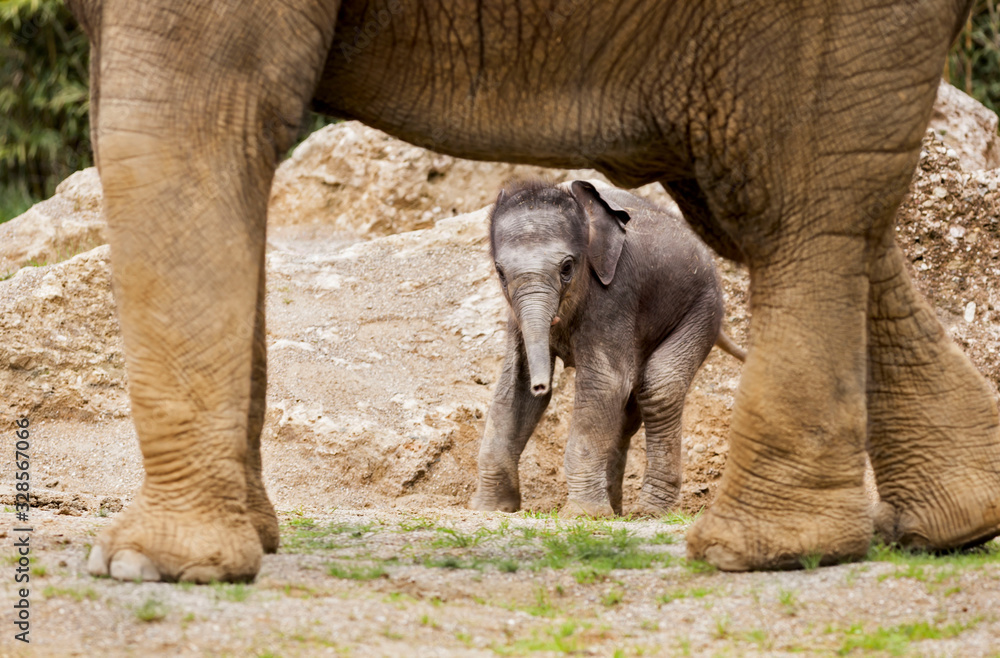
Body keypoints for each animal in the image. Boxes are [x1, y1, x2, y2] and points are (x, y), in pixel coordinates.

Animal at [470, 179, 743, 517]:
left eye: (567, 268)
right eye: (500, 273)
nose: (541, 384)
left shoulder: (615, 293)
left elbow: (605, 383)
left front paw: (582, 514)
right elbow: (514, 389)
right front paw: (490, 509)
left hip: (702, 310)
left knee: (658, 387)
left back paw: (650, 512)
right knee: (630, 409)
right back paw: (616, 509)